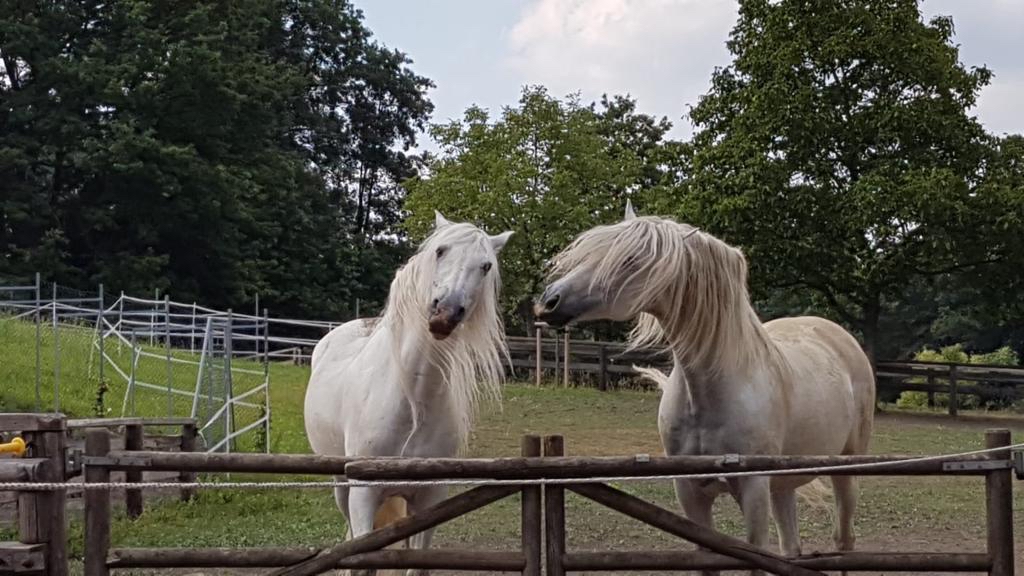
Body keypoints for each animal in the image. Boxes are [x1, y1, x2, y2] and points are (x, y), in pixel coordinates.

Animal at [303, 212, 512, 573]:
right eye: (440, 250)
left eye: (485, 266)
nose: (446, 313)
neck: (413, 402)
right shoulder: (363, 496)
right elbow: (362, 559)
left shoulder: (430, 498)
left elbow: (416, 563)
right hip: (341, 488)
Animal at [532, 201, 876, 569]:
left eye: (631, 259)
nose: (548, 302)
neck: (708, 397)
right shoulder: (690, 492)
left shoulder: (754, 491)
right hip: (782, 486)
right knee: (791, 547)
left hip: (846, 470)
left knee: (844, 540)